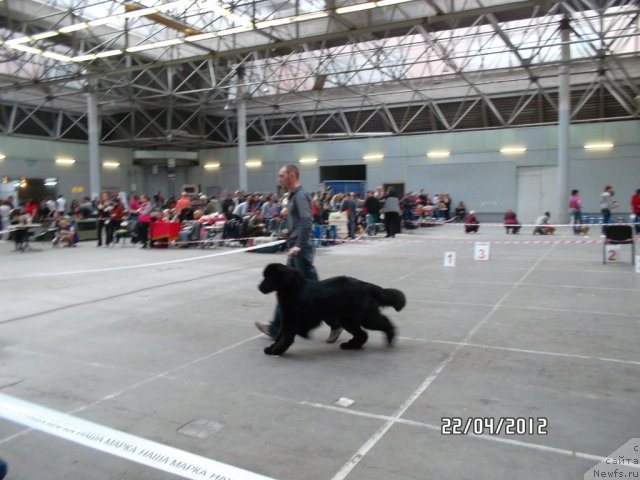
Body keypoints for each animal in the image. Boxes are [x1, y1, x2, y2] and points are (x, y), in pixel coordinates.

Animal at [256, 262, 402, 356]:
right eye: (265, 276)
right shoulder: (286, 318)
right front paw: (272, 348)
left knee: (384, 323)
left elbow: (284, 337)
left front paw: (276, 351)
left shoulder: (292, 320)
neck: (293, 289)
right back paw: (350, 345)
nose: (259, 287)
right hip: (348, 319)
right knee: (362, 334)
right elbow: (280, 335)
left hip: (365, 317)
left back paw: (390, 337)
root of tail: (365, 285)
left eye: (269, 277)